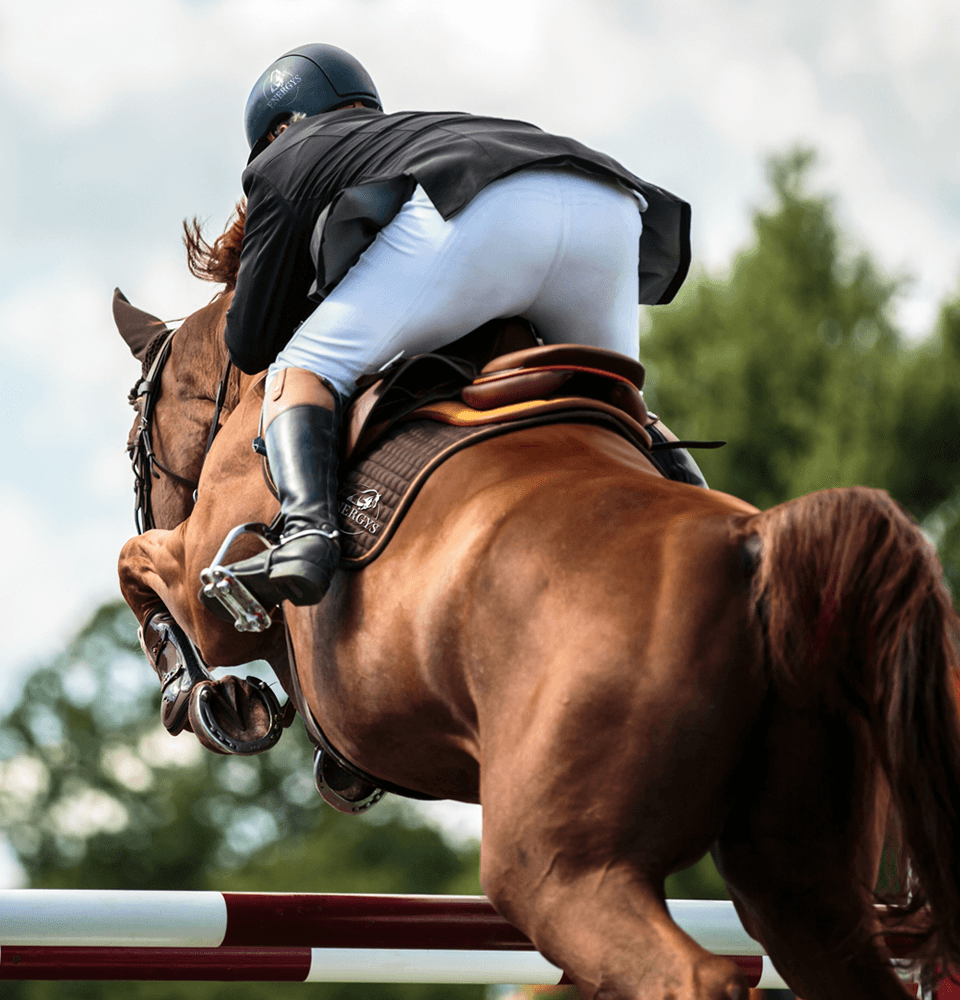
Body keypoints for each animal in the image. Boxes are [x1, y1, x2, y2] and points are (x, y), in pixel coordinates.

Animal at [115, 215, 960, 1000]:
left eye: (133, 439)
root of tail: (756, 545)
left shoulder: (206, 584)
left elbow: (137, 565)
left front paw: (210, 699)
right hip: (798, 879)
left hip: (560, 870)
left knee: (688, 973)